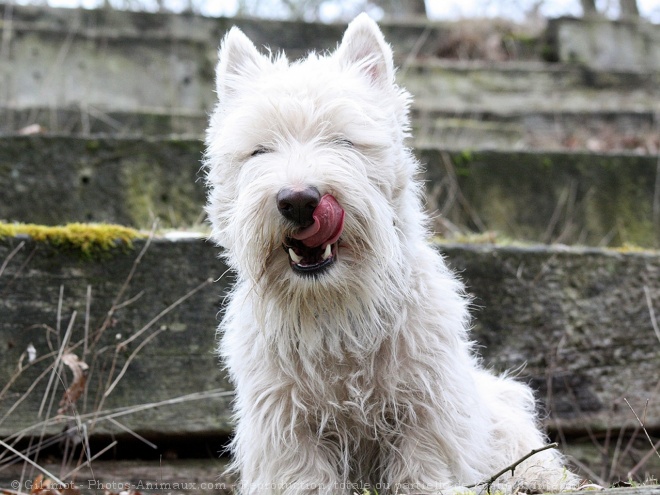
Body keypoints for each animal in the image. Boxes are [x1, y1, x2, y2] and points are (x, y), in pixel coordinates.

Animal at [204, 13, 576, 494]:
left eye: (343, 142)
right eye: (259, 150)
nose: (299, 200)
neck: (333, 308)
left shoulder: (427, 400)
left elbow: (424, 463)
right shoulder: (285, 419)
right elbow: (302, 473)